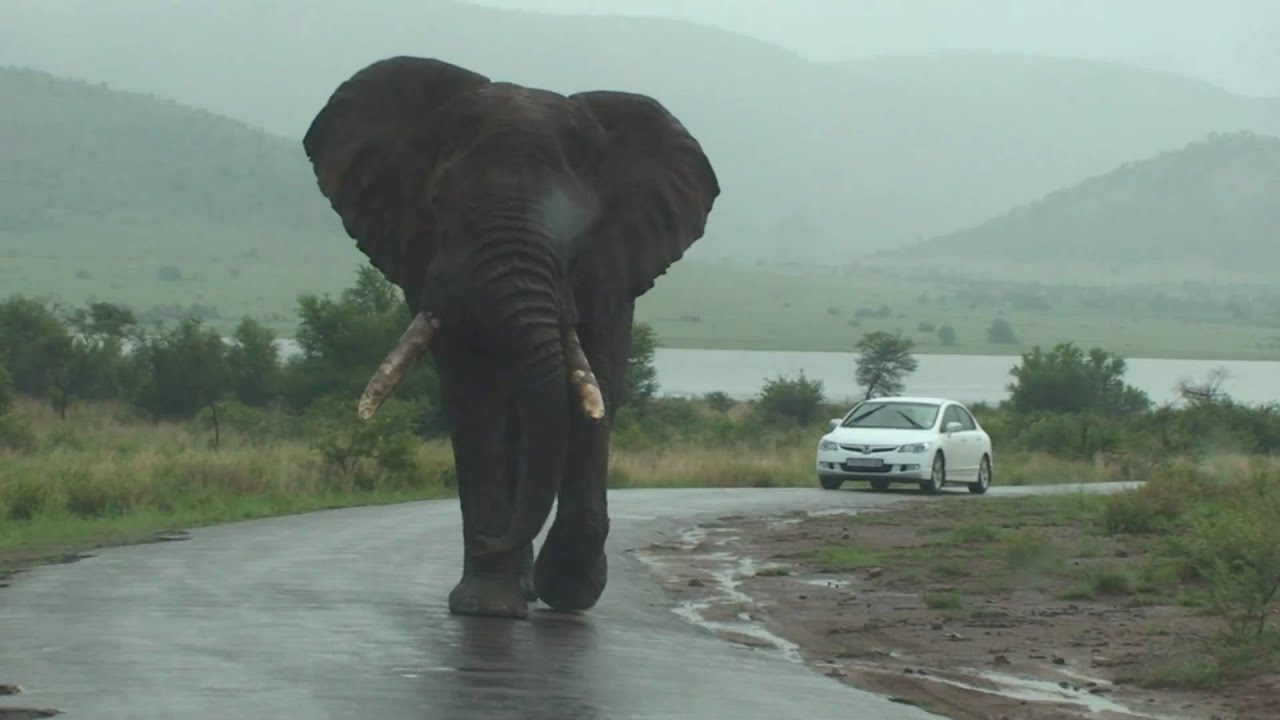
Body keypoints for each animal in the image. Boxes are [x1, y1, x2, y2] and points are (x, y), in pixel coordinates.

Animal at [301, 56, 720, 619]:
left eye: (577, 225)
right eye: (437, 204)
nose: (487, 541)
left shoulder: (612, 266)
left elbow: (599, 390)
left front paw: (569, 590)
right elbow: (473, 393)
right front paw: (488, 606)